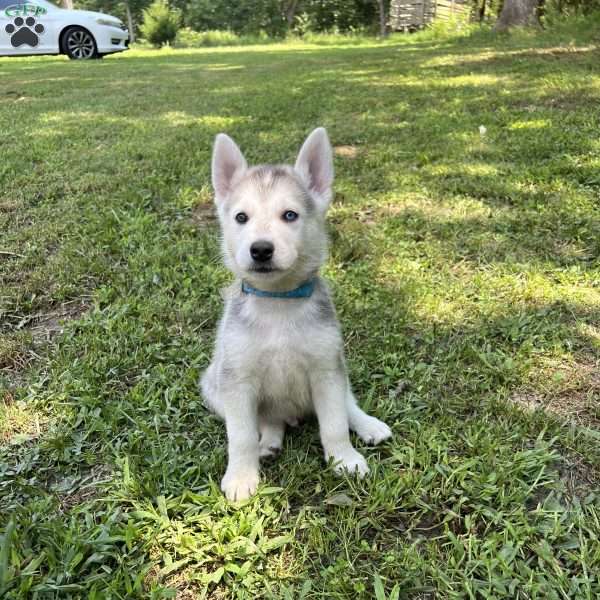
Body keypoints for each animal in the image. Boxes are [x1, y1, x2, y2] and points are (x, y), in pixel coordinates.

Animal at [199, 127, 392, 502]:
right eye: (241, 217)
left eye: (289, 215)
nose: (260, 249)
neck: (278, 302)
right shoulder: (237, 380)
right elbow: (241, 436)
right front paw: (241, 475)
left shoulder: (326, 369)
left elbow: (334, 424)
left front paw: (344, 459)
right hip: (213, 386)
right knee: (266, 421)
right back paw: (269, 443)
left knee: (348, 404)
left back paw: (368, 424)